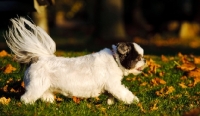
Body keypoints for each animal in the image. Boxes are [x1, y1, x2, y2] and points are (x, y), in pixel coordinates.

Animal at [4, 17, 145, 104]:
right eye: (138, 58)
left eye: (142, 57)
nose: (144, 60)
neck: (115, 60)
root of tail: (39, 58)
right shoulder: (114, 84)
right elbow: (124, 93)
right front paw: (134, 100)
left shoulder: (110, 86)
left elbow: (112, 96)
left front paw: (110, 103)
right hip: (36, 85)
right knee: (26, 98)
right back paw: (28, 104)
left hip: (45, 87)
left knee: (45, 96)